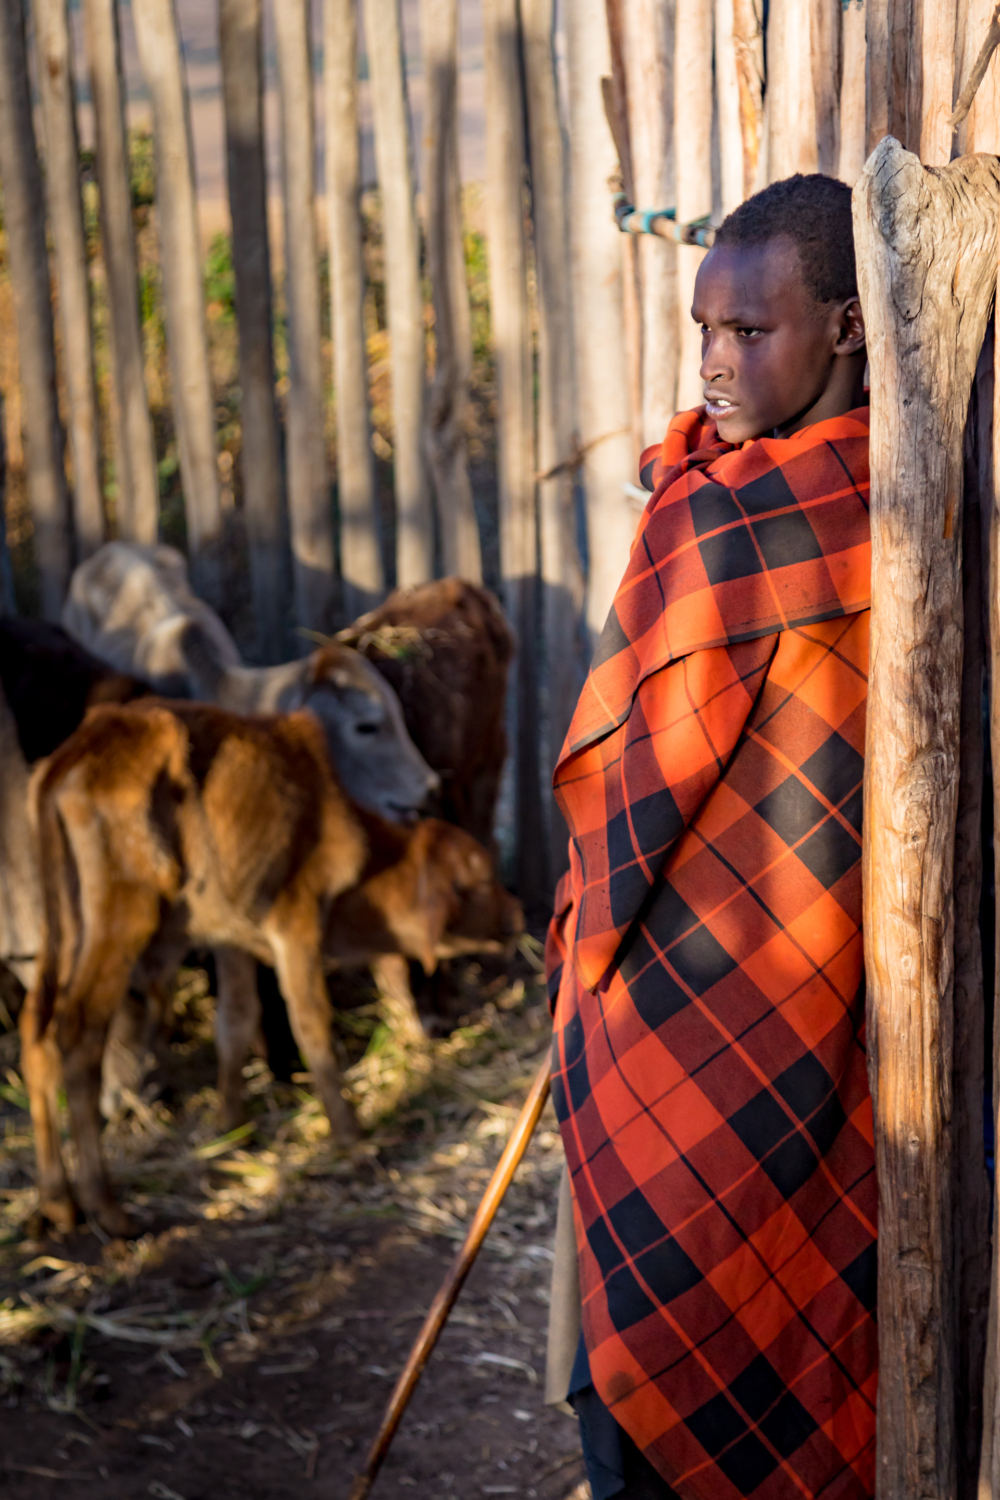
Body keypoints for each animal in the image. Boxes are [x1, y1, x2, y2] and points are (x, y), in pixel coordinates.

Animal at [19, 696, 524, 1236]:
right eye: (483, 878)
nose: (516, 911)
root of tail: (78, 749)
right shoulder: (295, 922)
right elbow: (312, 1025)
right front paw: (349, 1133)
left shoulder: (229, 939)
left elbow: (235, 1024)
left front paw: (232, 1124)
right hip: (121, 922)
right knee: (76, 1037)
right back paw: (105, 1205)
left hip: (65, 930)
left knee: (37, 1034)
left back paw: (58, 1201)